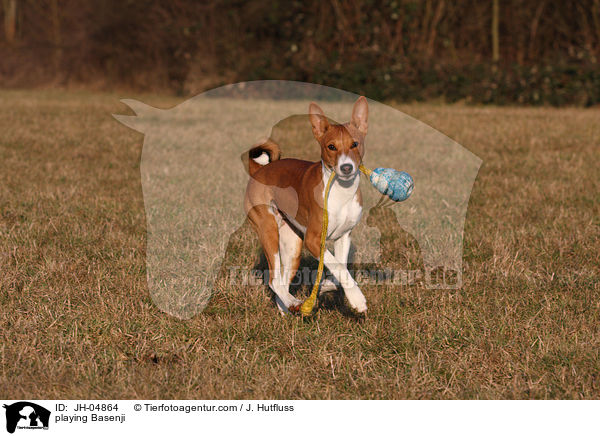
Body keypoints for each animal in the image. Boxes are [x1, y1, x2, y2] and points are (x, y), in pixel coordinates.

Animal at [245, 96, 370, 314]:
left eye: (355, 144)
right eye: (331, 147)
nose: (346, 167)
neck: (341, 193)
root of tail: (259, 171)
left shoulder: (344, 236)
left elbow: (340, 267)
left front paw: (327, 286)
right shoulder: (313, 240)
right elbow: (337, 266)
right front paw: (357, 299)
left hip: (292, 246)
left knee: (282, 283)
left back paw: (287, 308)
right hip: (268, 229)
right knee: (274, 280)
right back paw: (295, 303)